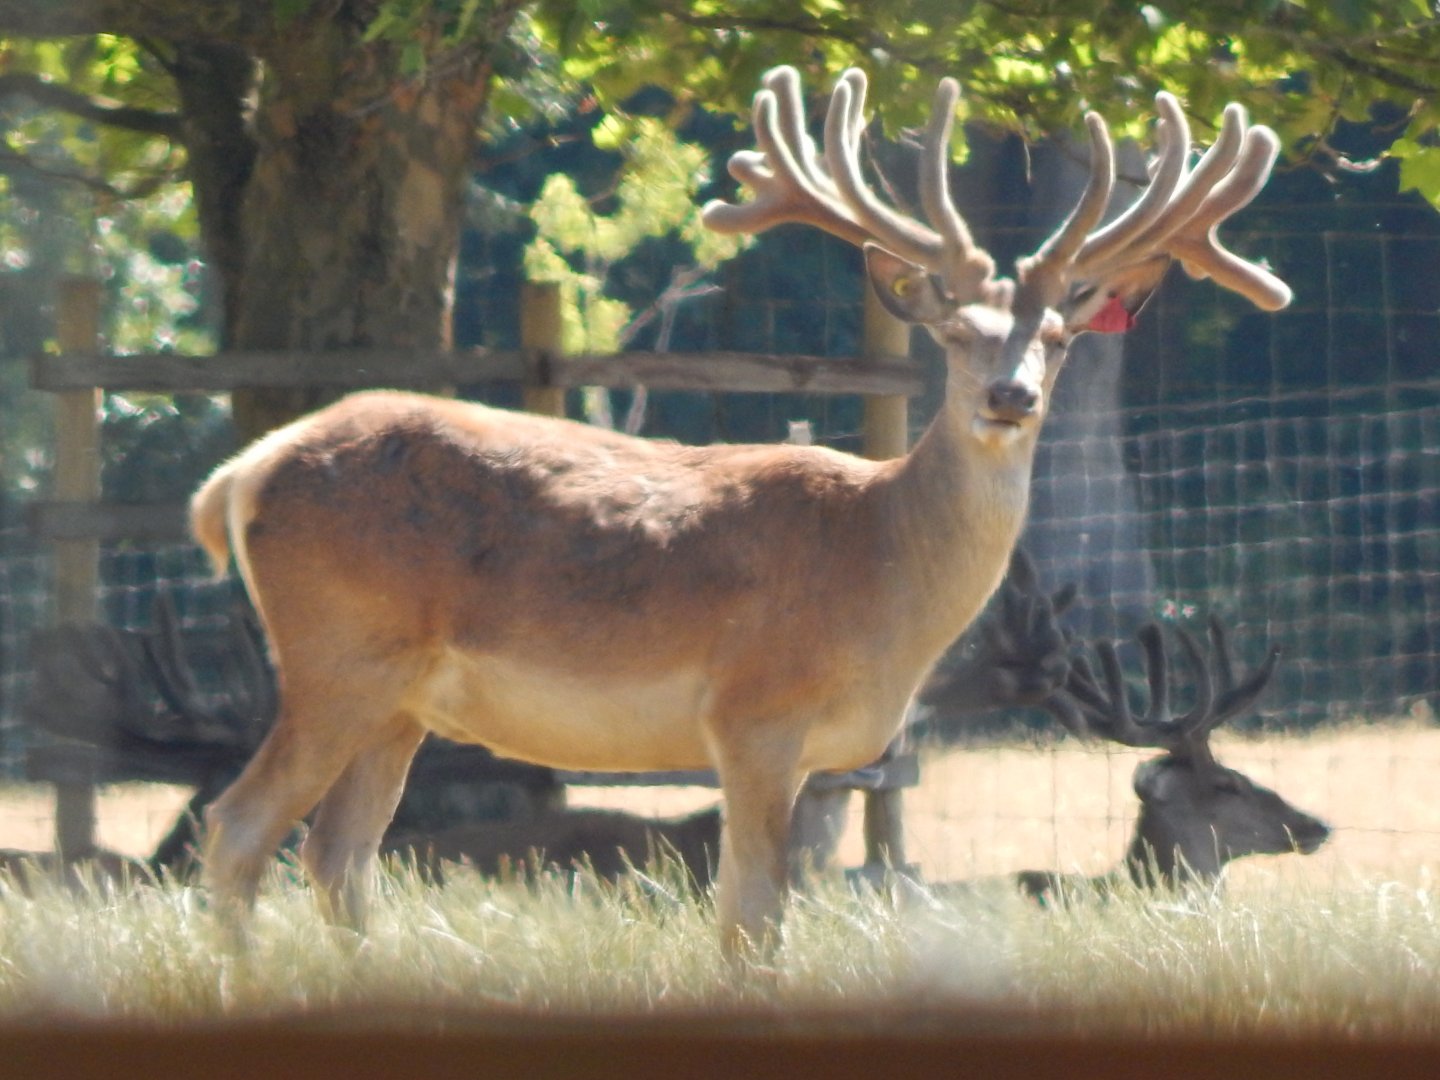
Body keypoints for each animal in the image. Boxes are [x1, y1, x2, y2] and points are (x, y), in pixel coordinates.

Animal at [189, 65, 1292, 954]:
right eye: (955, 334)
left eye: (1058, 339)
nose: (1010, 396)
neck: (880, 569)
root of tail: (243, 473)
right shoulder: (756, 709)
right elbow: (753, 916)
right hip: (337, 655)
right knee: (239, 829)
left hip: (400, 698)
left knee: (339, 857)